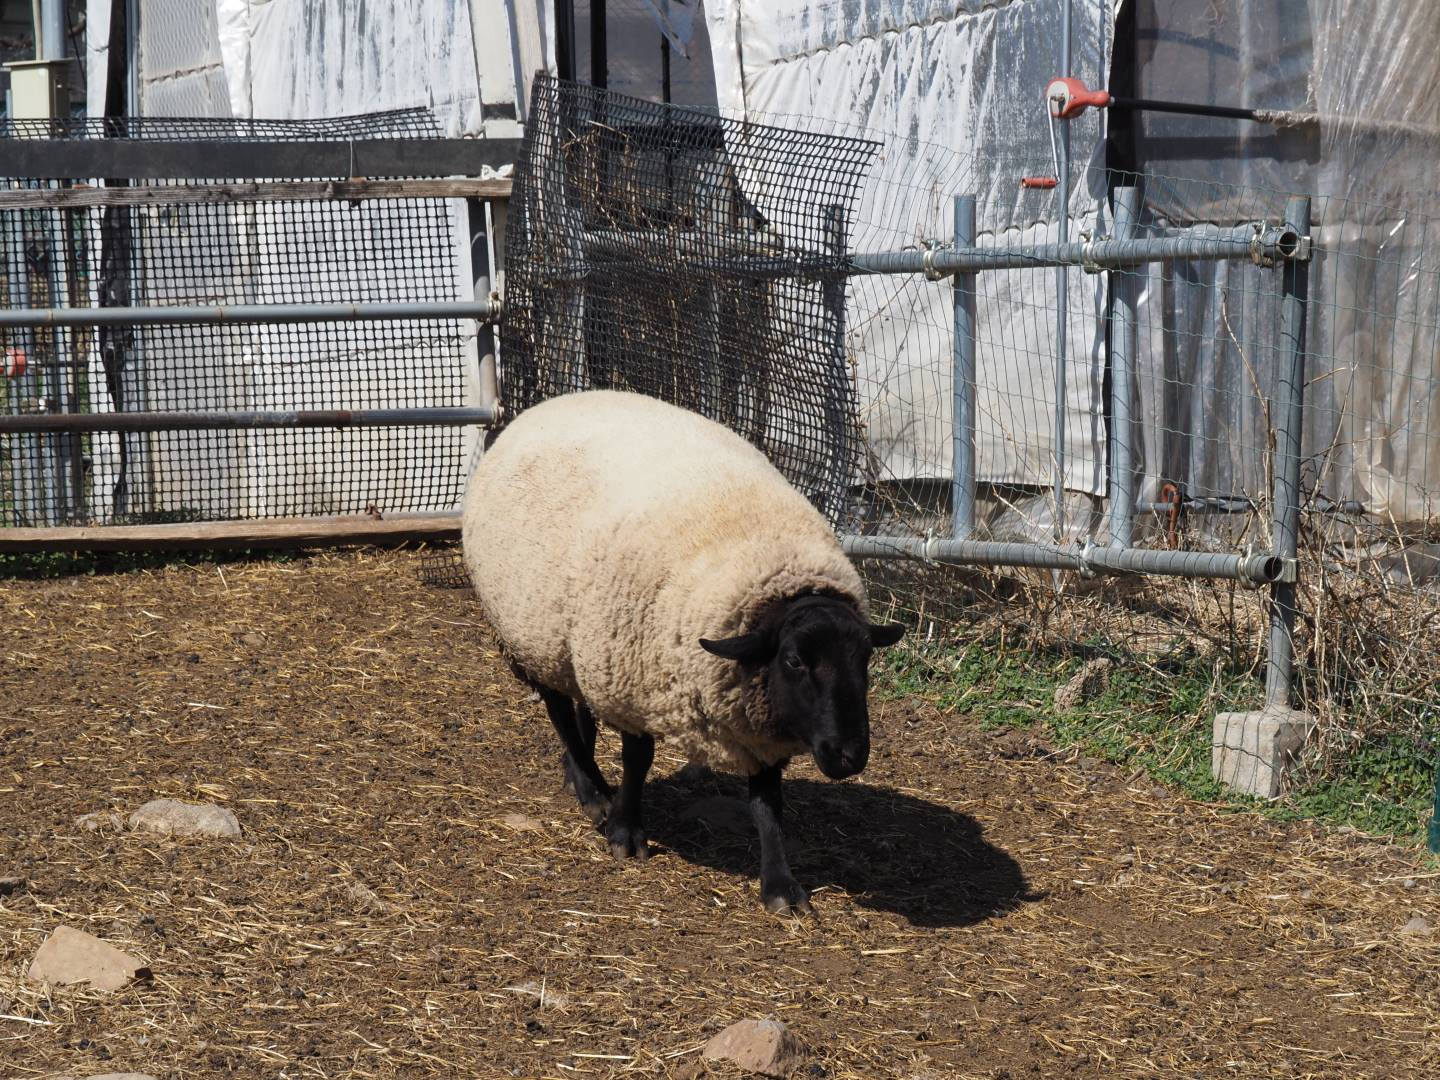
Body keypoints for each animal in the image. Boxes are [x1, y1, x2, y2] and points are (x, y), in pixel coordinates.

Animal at [466, 388, 904, 915]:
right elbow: (638, 760)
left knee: (579, 707)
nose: (850, 756)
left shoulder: (756, 721)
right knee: (558, 710)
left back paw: (578, 772)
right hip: (534, 637)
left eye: (865, 660)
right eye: (795, 661)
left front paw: (780, 885)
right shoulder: (632, 685)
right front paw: (625, 830)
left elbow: (767, 804)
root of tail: (559, 399)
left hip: (576, 644)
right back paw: (592, 789)